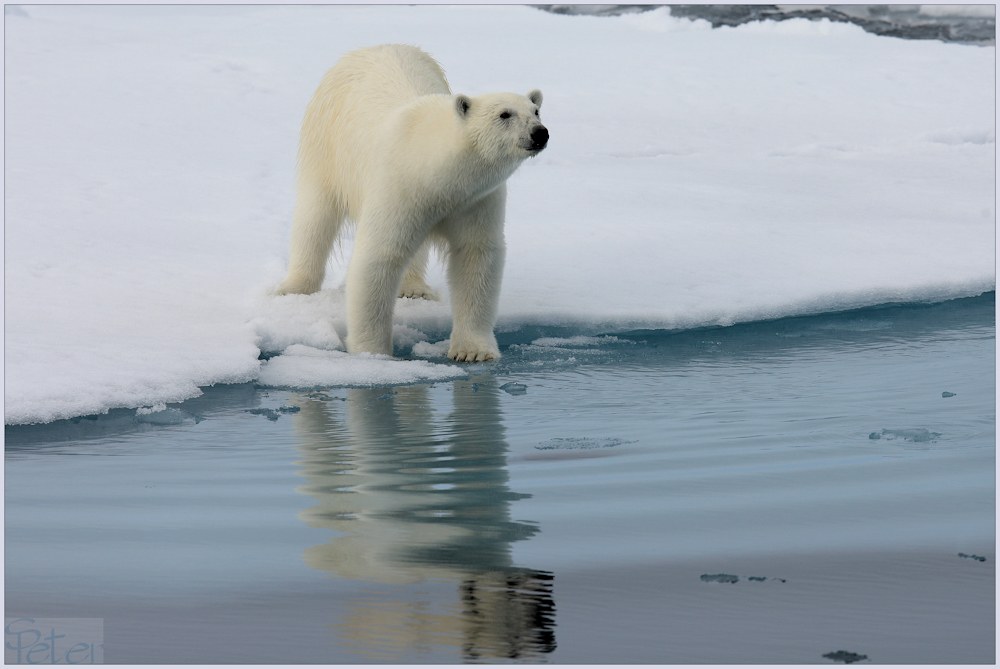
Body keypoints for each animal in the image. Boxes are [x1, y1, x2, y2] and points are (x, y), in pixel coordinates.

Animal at [278, 44, 552, 362]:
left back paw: (413, 289)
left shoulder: (476, 200)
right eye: (504, 114)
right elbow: (379, 256)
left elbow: (476, 255)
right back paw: (294, 287)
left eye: (536, 110)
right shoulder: (398, 185)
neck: (436, 170)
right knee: (316, 214)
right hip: (325, 140)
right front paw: (372, 352)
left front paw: (473, 350)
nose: (539, 132)